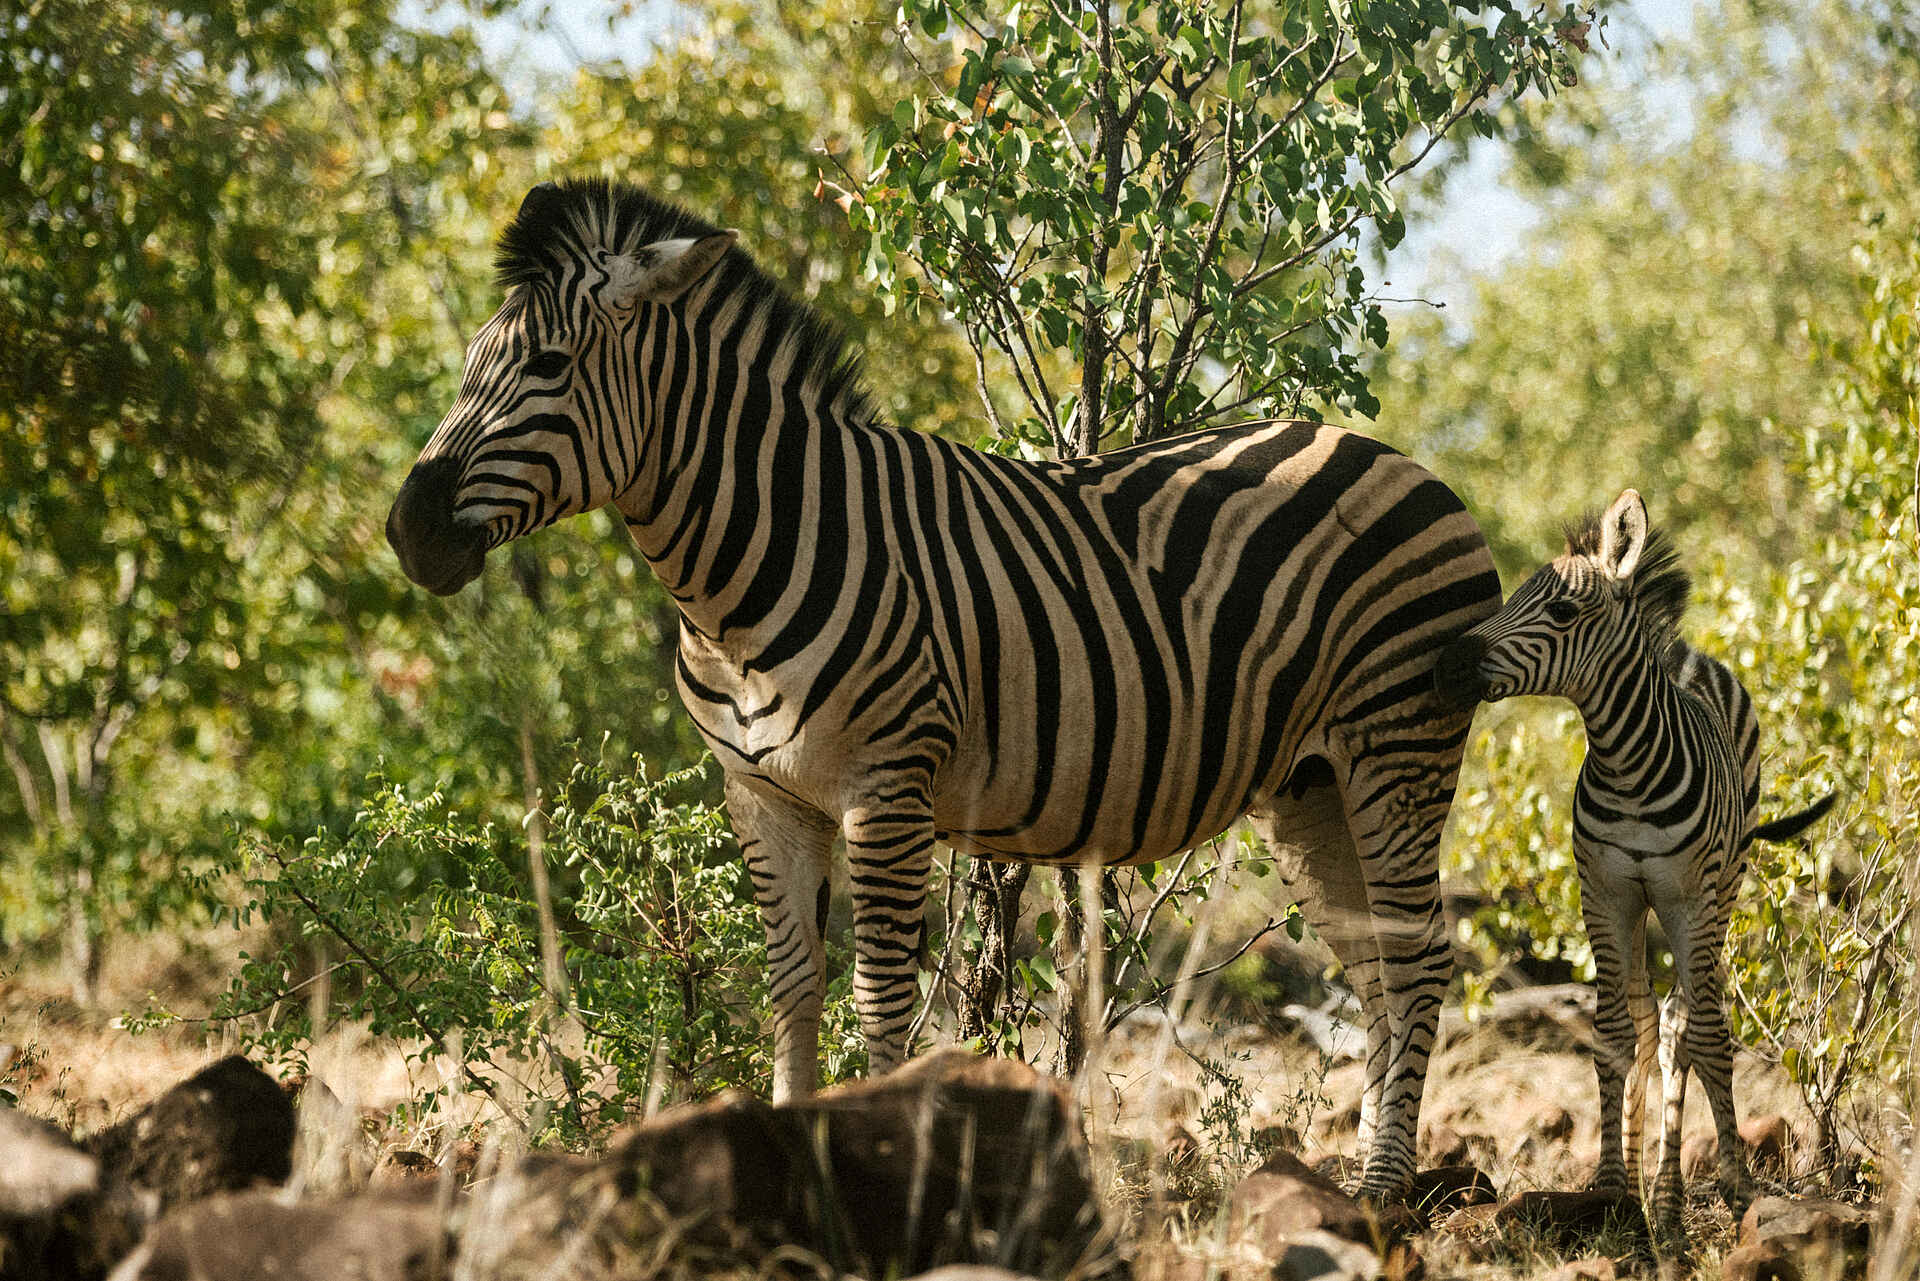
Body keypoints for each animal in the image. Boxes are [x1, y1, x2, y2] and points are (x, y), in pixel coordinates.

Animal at [385, 177, 1503, 1198]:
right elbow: (793, 989)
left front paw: (876, 1168)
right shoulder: (764, 795)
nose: (408, 532)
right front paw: (794, 1169)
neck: (744, 577)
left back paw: (1388, 1191)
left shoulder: (889, 790)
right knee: (1374, 969)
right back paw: (1359, 1183)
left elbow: (879, 998)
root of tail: (1397, 457)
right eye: (470, 362)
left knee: (1420, 962)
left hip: (1397, 748)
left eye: (547, 366)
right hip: (1311, 784)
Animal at [1433, 488, 1832, 1243]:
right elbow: (1615, 1032)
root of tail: (1688, 655)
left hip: (1723, 891)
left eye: (1561, 610)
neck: (1628, 767)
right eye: (1515, 593)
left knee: (1693, 1021)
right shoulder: (1605, 891)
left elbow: (1694, 1033)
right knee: (1652, 1016)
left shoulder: (1687, 898)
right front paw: (1615, 1186)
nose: (1449, 664)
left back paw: (1714, 1182)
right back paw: (1643, 1167)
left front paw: (1673, 1203)